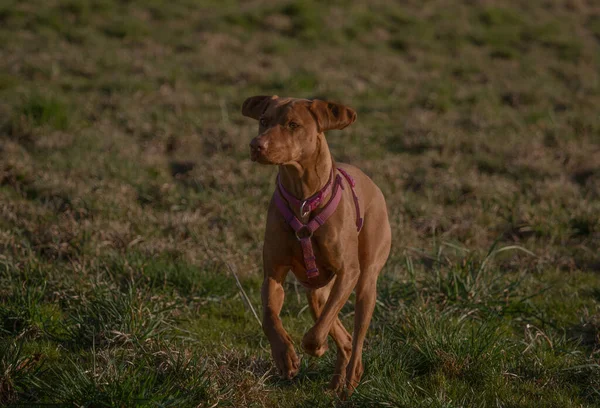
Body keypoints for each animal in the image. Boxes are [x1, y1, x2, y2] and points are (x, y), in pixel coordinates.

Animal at [241, 95, 392, 396]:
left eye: (293, 124)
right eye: (263, 120)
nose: (256, 145)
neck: (303, 198)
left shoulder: (348, 272)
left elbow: (317, 331)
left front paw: (314, 347)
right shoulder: (273, 274)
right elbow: (269, 317)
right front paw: (285, 357)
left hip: (366, 280)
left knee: (356, 334)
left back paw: (351, 377)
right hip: (317, 291)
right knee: (338, 329)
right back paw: (337, 379)